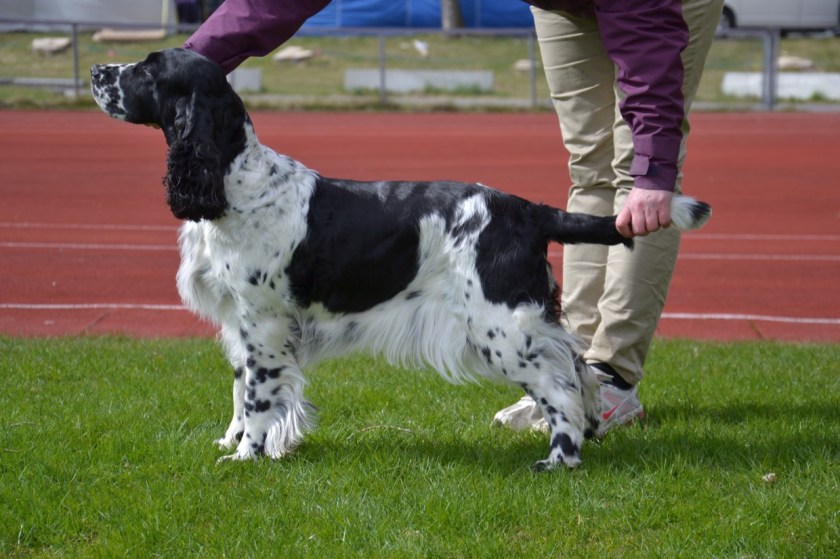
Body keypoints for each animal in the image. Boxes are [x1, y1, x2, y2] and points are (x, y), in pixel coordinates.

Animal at [91, 48, 711, 470]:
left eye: (148, 70)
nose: (97, 71)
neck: (235, 181)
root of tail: (527, 210)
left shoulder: (263, 323)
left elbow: (261, 395)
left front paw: (247, 457)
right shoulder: (241, 325)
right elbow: (241, 391)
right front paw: (232, 441)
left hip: (500, 327)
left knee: (558, 386)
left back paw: (559, 459)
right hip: (526, 320)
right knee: (577, 366)